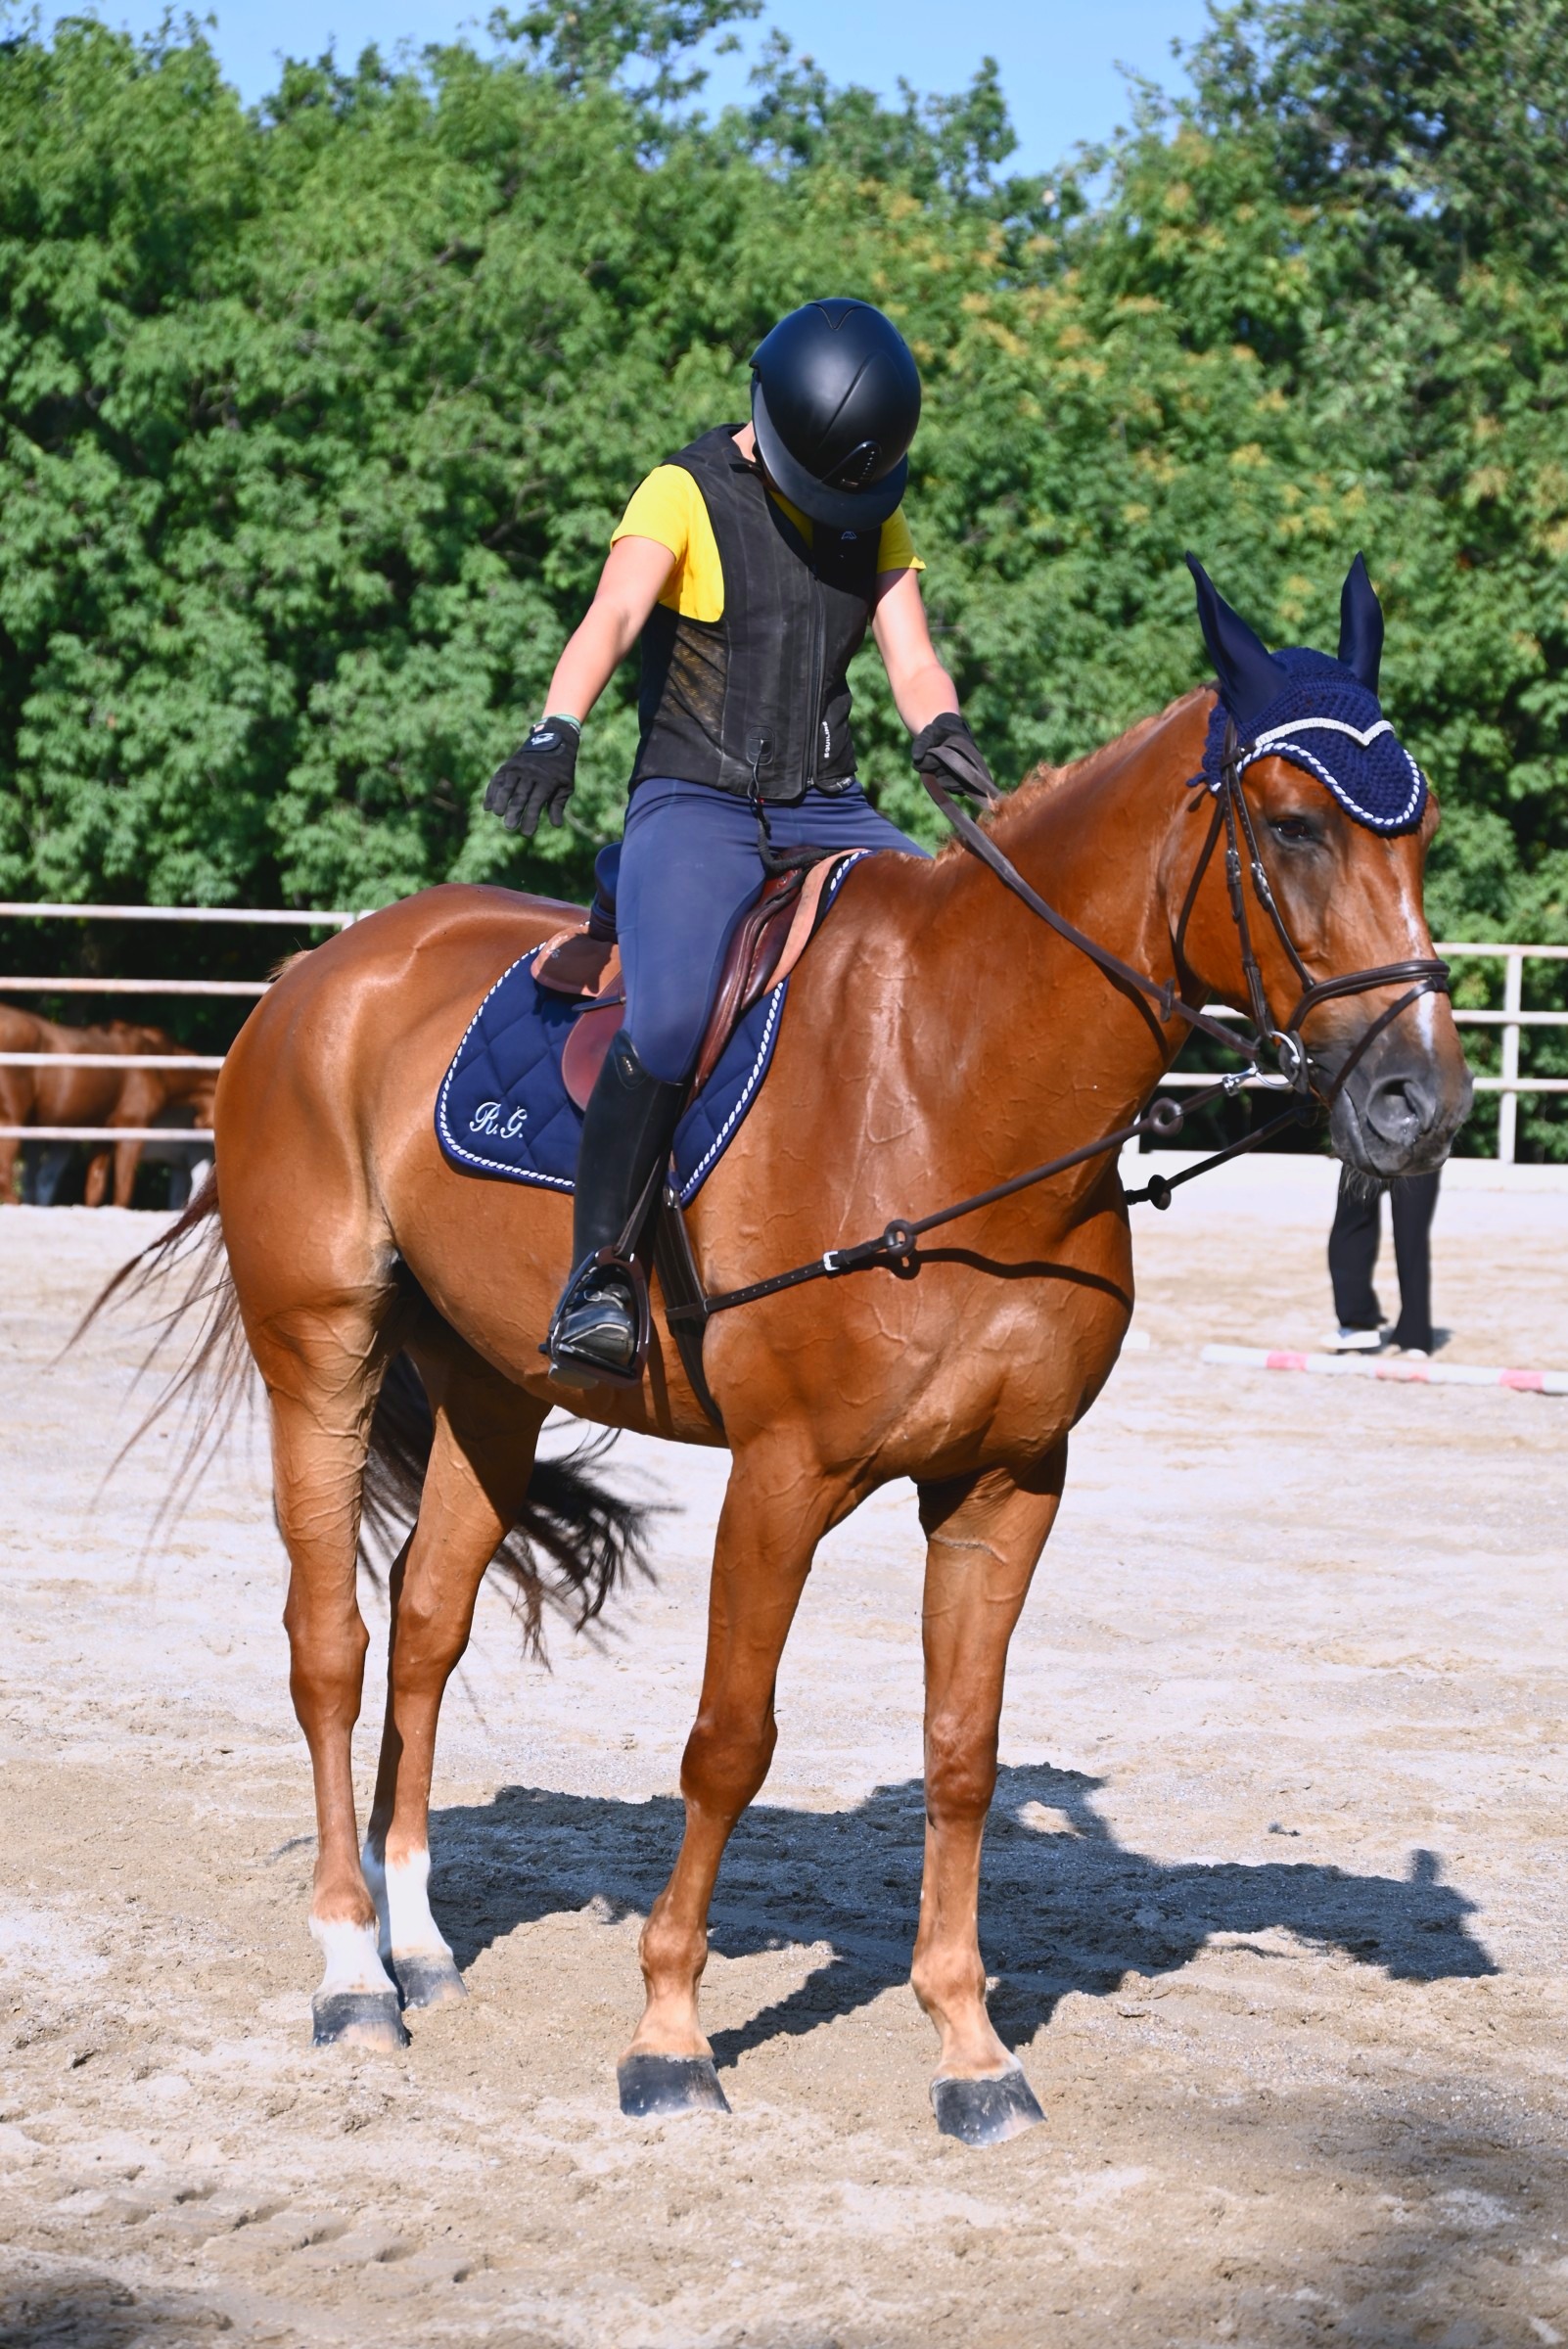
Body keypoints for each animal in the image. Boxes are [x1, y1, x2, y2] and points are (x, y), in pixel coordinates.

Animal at [116, 563, 1470, 2145]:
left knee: (427, 1627)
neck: (953, 1083)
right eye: (1294, 823)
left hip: (492, 1389)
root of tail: (320, 969)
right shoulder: (781, 1477)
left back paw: (421, 1945)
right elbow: (728, 1739)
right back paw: (348, 1972)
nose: (1419, 1102)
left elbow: (961, 1752)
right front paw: (666, 2037)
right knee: (329, 1644)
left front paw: (969, 2049)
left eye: (1423, 826)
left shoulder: (1008, 1483)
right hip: (319, 1351)